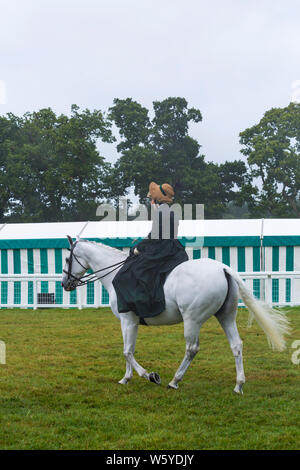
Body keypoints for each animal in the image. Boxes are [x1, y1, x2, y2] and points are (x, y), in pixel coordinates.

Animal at [61, 235, 290, 392]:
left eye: (66, 259)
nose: (65, 284)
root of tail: (223, 268)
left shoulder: (127, 320)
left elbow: (127, 351)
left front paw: (150, 375)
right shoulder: (129, 322)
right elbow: (128, 350)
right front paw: (126, 378)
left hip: (192, 320)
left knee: (191, 348)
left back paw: (174, 381)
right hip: (225, 317)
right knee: (236, 345)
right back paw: (238, 385)